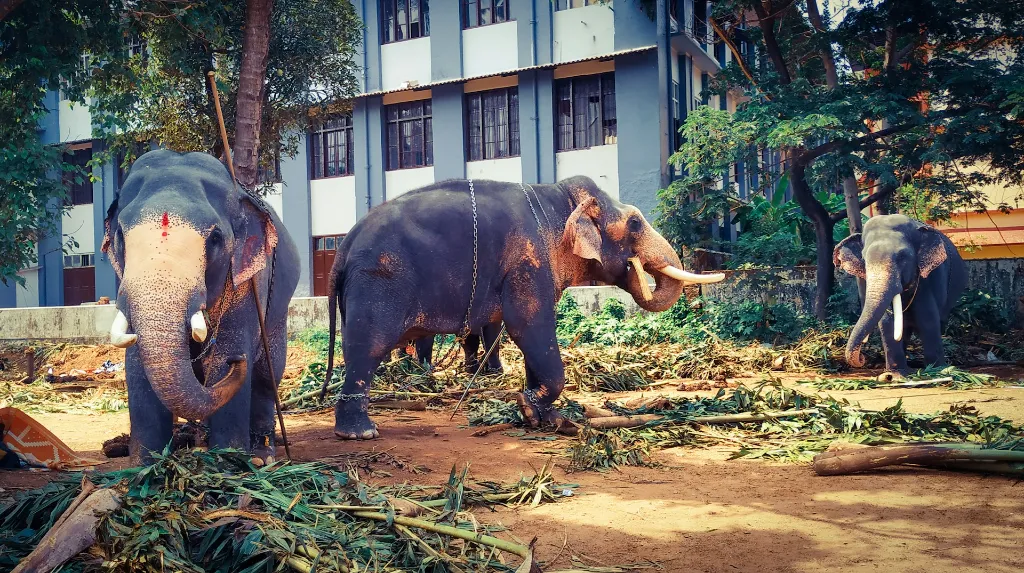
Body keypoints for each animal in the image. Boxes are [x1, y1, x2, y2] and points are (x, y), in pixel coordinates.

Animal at [101, 149, 300, 464]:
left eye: (215, 239)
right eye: (120, 235)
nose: (238, 363)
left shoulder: (248, 283)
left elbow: (225, 355)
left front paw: (229, 464)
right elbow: (136, 366)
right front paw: (144, 469)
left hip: (278, 312)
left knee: (267, 377)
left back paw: (261, 456)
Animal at [324, 175, 724, 439]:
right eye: (636, 222)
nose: (637, 266)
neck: (559, 200)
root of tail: (344, 245)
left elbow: (531, 336)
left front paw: (546, 418)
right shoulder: (527, 263)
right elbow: (529, 325)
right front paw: (529, 406)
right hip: (379, 280)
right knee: (367, 346)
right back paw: (360, 433)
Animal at [834, 214, 967, 374]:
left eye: (903, 257)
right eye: (864, 260)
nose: (862, 359)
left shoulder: (930, 278)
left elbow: (928, 317)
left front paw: (937, 370)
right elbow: (886, 321)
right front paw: (896, 374)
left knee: (938, 319)